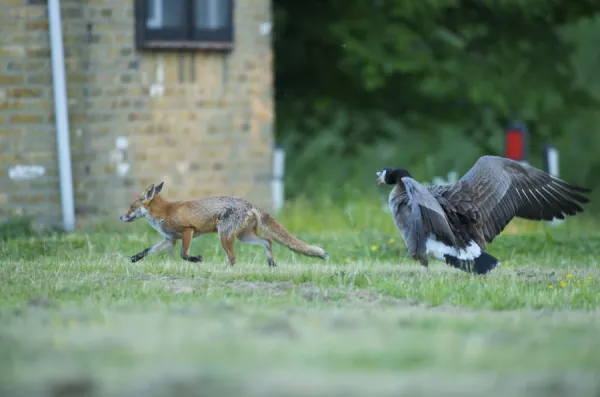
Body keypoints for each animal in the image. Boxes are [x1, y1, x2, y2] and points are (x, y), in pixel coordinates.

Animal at [119, 182, 330, 266]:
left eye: (131, 207)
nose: (121, 217)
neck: (164, 212)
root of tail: (249, 203)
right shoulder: (170, 239)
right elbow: (148, 250)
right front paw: (134, 259)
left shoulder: (188, 231)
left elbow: (183, 254)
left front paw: (197, 259)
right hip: (244, 237)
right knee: (267, 242)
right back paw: (271, 264)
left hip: (224, 236)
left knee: (234, 258)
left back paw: (224, 270)